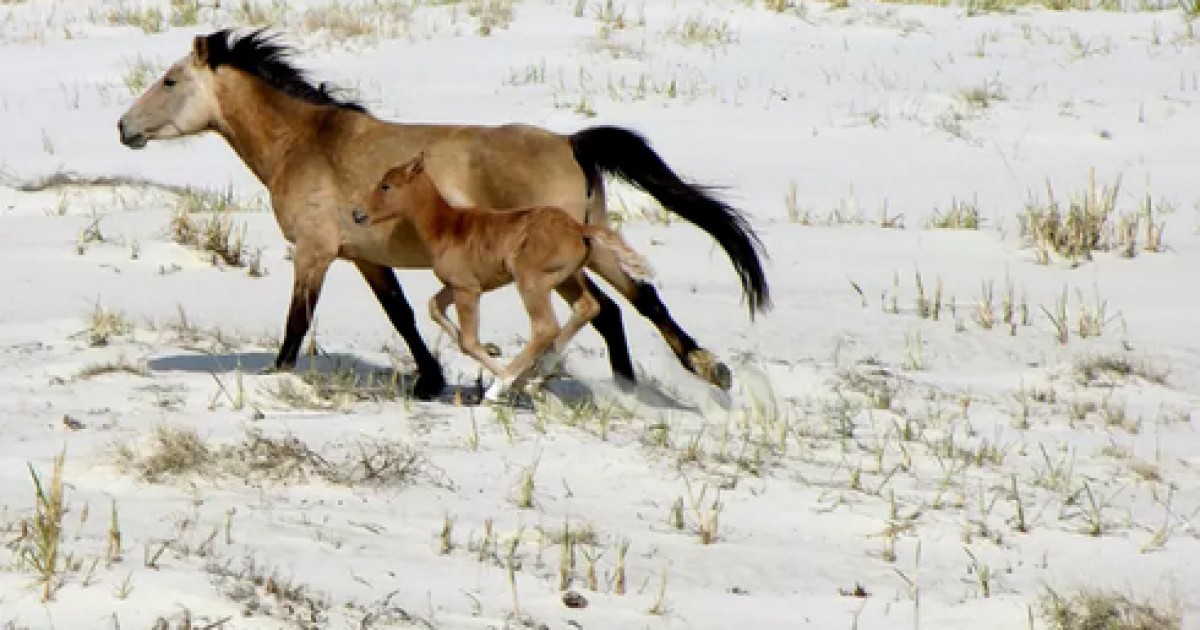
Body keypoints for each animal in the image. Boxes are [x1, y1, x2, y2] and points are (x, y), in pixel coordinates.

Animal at [355, 153, 657, 400]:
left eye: (386, 186)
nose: (357, 214)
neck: (447, 229)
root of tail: (578, 228)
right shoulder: (459, 286)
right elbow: (435, 309)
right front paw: (500, 359)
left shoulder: (467, 289)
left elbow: (468, 341)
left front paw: (504, 379)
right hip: (566, 278)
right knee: (587, 307)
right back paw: (536, 374)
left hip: (531, 281)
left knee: (545, 327)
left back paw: (503, 385)